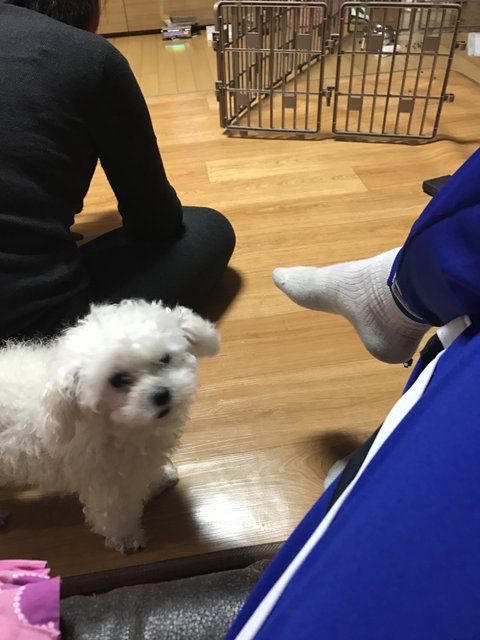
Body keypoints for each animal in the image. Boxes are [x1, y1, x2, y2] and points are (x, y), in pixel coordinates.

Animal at [0, 299, 219, 552]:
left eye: (164, 359)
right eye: (118, 380)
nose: (162, 394)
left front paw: (159, 480)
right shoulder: (106, 484)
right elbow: (115, 515)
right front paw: (127, 539)